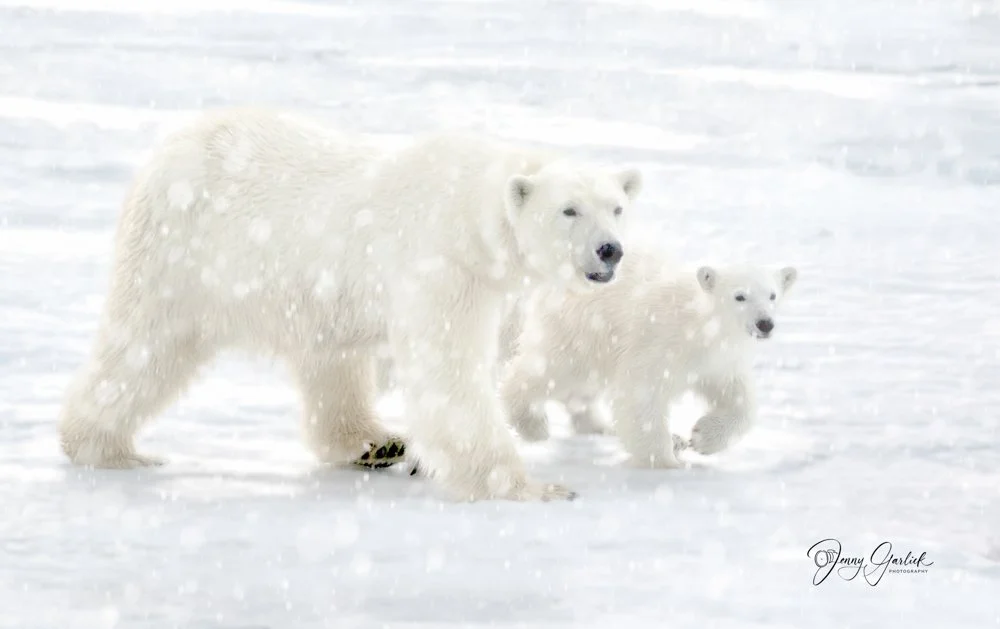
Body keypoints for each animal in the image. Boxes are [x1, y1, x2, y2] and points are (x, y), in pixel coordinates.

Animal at [57, 107, 644, 502]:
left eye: (616, 206)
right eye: (569, 210)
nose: (610, 249)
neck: (473, 220)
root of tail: (173, 143)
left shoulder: (498, 287)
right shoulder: (440, 267)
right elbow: (449, 375)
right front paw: (532, 487)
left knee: (332, 363)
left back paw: (376, 443)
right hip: (183, 256)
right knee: (146, 345)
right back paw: (105, 447)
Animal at [498, 245, 797, 468]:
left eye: (772, 295)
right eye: (739, 296)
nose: (764, 324)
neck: (700, 328)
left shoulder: (719, 361)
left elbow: (738, 398)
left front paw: (701, 437)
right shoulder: (659, 343)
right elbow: (642, 393)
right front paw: (666, 457)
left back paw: (597, 425)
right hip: (580, 328)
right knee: (550, 369)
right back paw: (532, 424)